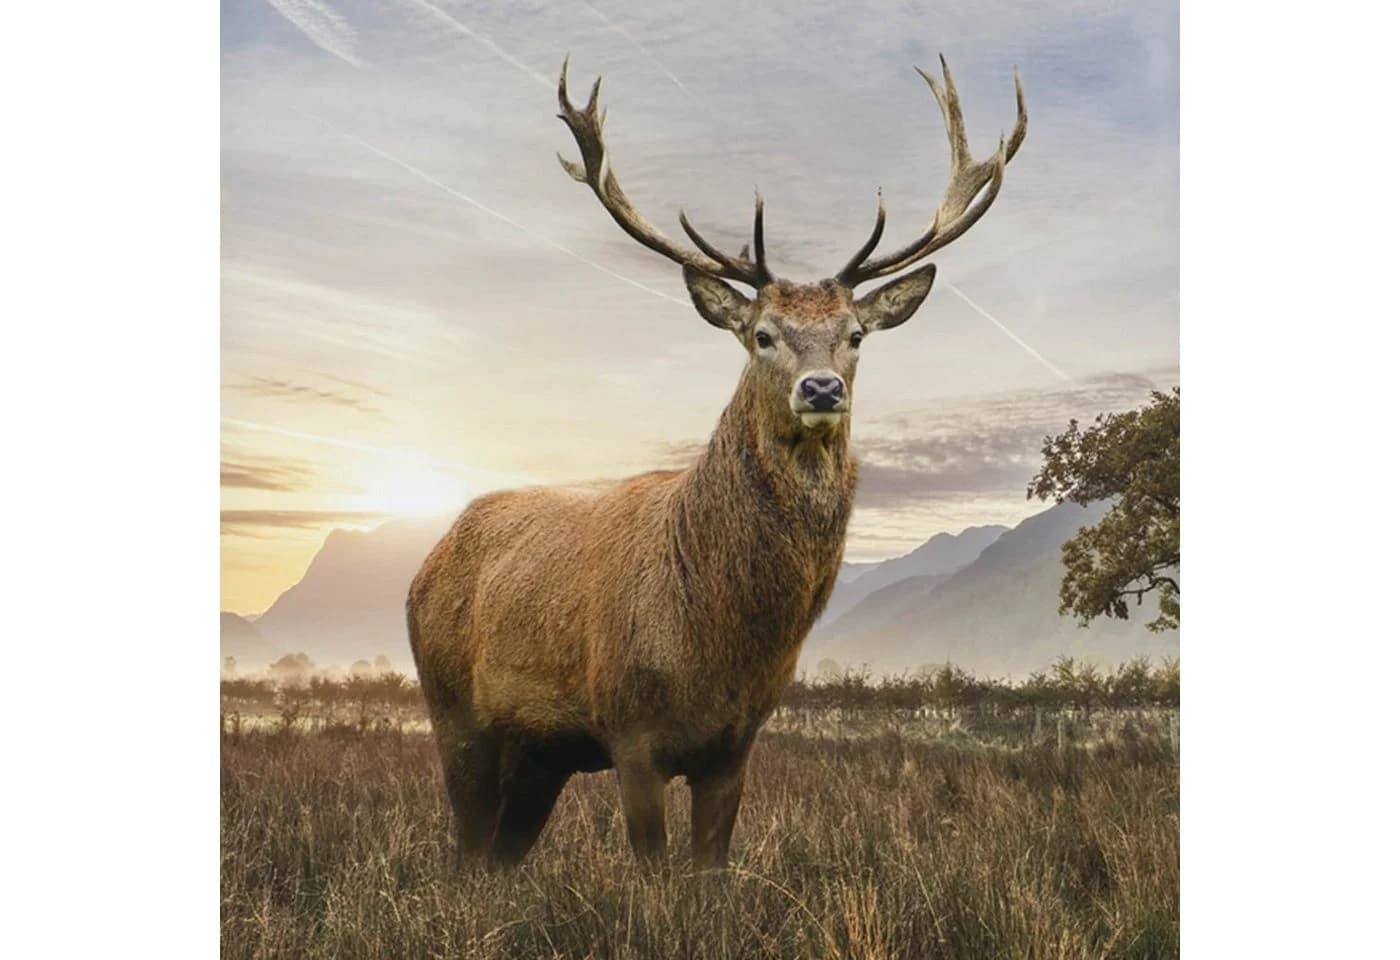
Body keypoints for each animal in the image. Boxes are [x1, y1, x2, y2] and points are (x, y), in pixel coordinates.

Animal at [408, 54, 1026, 869]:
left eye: (856, 335)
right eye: (762, 334)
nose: (820, 388)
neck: (717, 641)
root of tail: (427, 562)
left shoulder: (736, 744)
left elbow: (711, 872)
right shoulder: (631, 731)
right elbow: (651, 871)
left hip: (540, 754)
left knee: (501, 857)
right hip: (454, 710)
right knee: (467, 852)